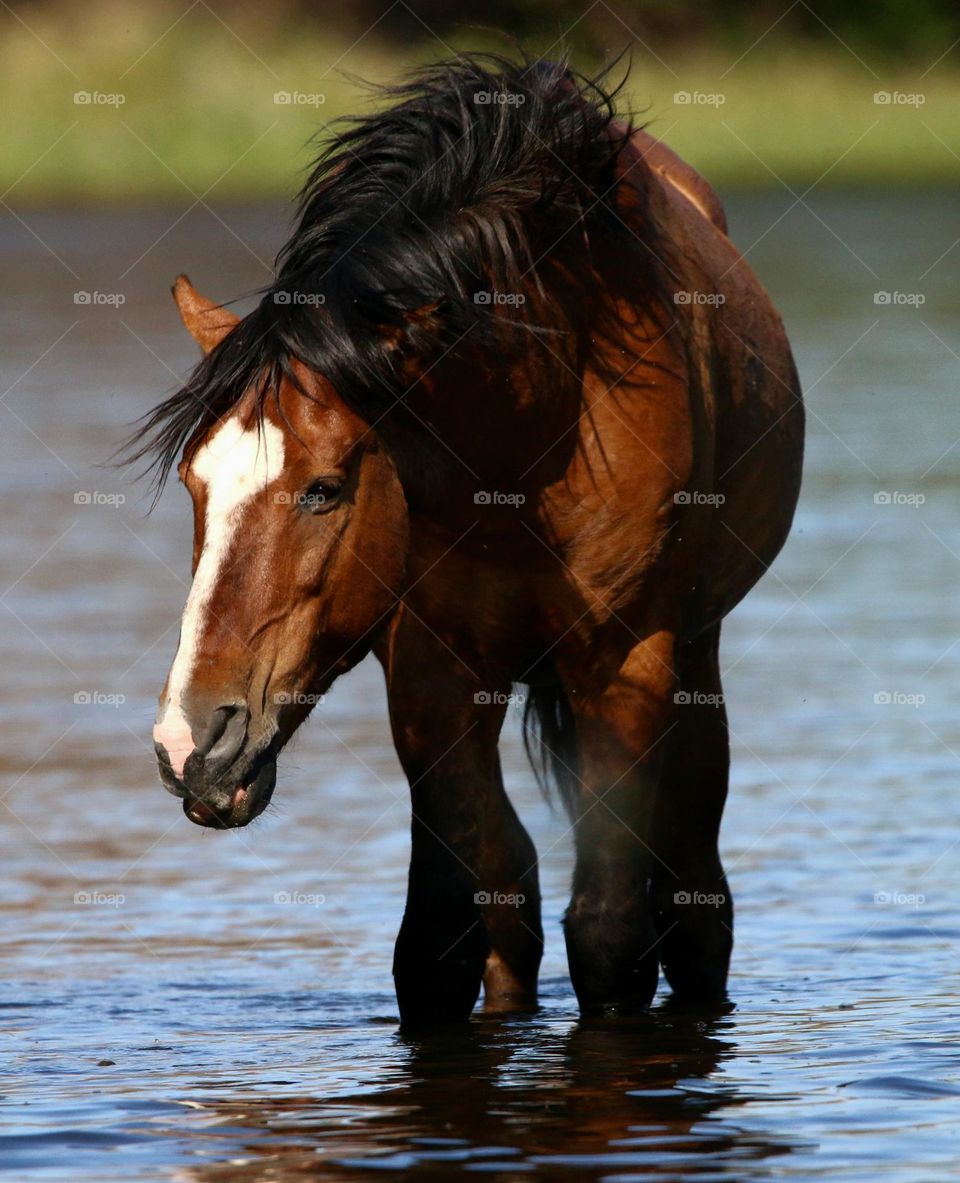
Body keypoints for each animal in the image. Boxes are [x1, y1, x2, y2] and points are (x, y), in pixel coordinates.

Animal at [129, 55, 804, 1024]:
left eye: (325, 488)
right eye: (195, 485)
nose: (193, 747)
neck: (540, 427)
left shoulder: (626, 665)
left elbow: (610, 939)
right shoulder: (431, 665)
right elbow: (438, 942)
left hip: (694, 659)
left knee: (693, 906)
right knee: (509, 893)